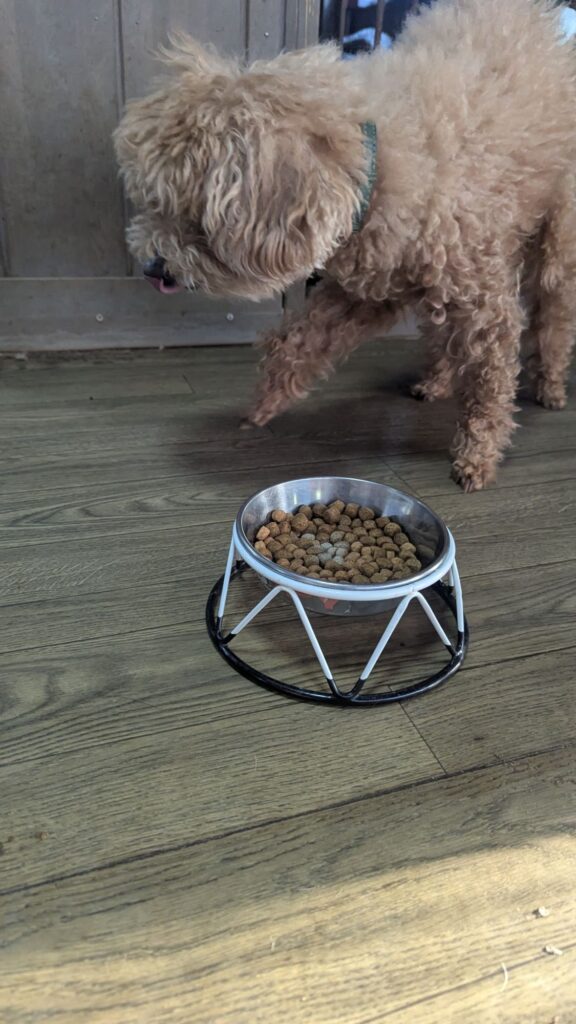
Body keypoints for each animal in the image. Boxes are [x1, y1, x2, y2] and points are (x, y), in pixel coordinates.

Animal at [115, 0, 576, 491]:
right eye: (152, 203)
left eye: (195, 221)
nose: (152, 269)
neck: (376, 161)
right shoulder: (372, 288)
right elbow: (299, 341)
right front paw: (261, 408)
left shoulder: (483, 304)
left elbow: (491, 381)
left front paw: (477, 457)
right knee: (441, 334)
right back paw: (435, 382)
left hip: (557, 239)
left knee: (554, 316)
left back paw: (550, 387)